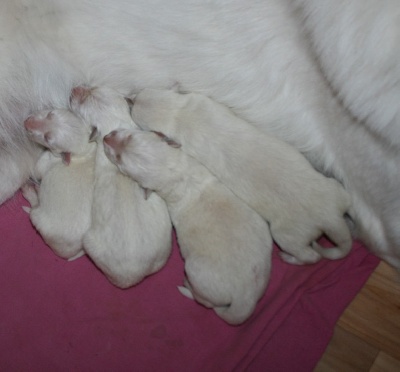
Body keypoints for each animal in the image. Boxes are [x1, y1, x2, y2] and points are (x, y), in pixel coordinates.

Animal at [21, 107, 96, 258]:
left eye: (47, 139)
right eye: (50, 114)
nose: (26, 122)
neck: (84, 148)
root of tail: (76, 252)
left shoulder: (47, 160)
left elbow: (37, 169)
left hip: (39, 218)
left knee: (34, 209)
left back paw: (31, 192)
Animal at [69, 85, 172, 290]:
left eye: (81, 102)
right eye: (93, 87)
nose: (74, 87)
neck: (114, 123)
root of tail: (136, 277)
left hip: (89, 241)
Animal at [103, 129, 274, 326]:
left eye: (119, 159)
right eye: (127, 140)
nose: (106, 137)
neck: (175, 172)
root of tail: (246, 297)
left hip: (196, 272)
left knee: (205, 302)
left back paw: (187, 286)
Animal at [130, 89, 352, 264]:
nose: (131, 99)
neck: (179, 113)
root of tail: (330, 217)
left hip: (287, 234)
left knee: (310, 256)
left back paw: (290, 258)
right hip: (337, 190)